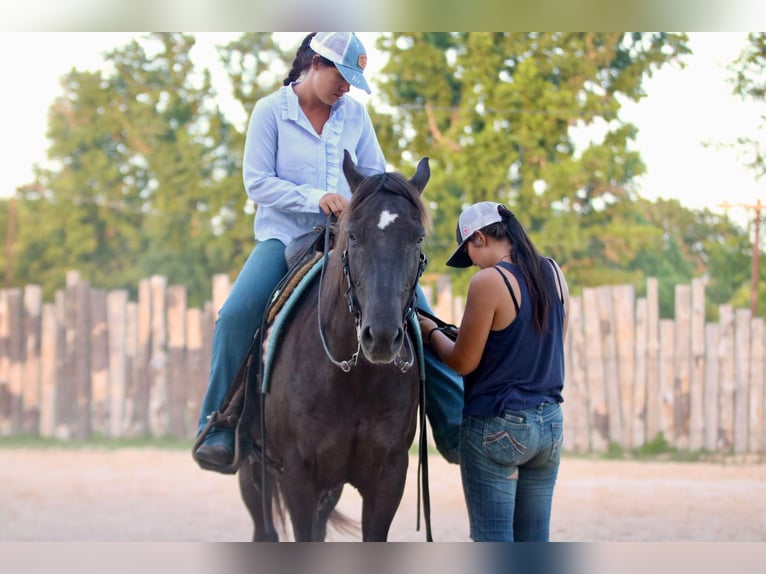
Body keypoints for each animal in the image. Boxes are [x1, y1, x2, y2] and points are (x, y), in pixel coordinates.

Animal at [238, 150, 432, 542]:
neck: (352, 381)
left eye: (417, 238)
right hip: (253, 471)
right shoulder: (299, 478)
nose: (382, 336)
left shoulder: (388, 478)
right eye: (353, 236)